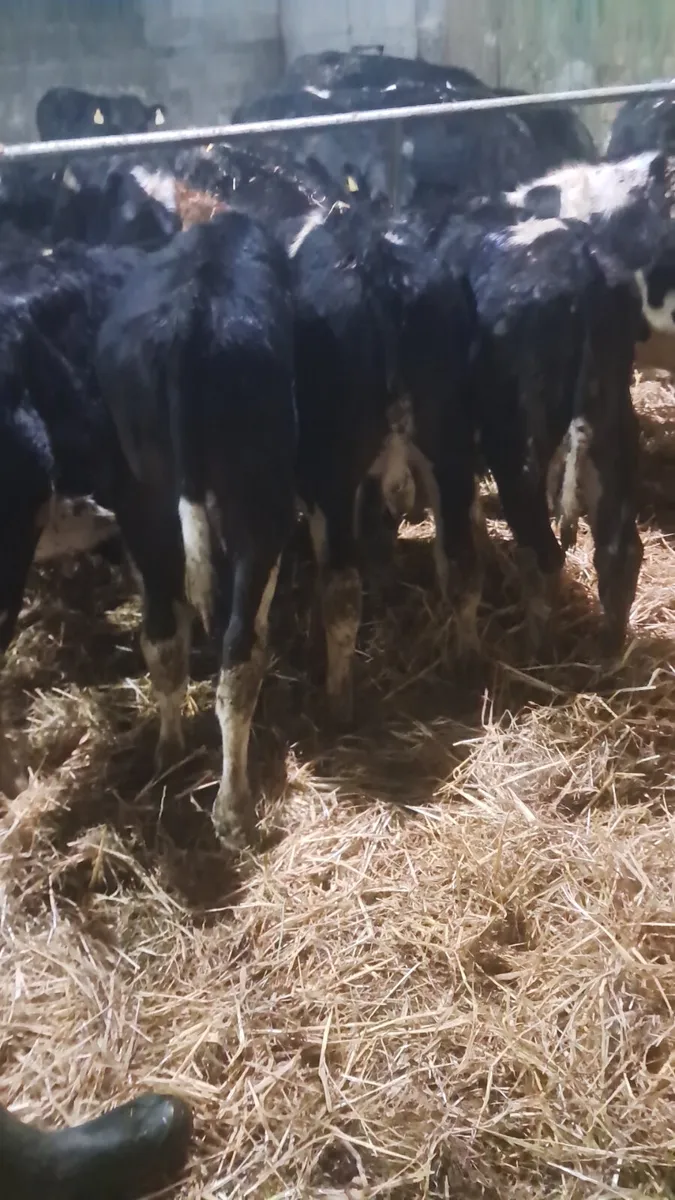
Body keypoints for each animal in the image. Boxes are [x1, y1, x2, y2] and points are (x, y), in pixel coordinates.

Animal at [95, 211, 296, 848]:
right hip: (260, 505)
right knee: (238, 655)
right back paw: (232, 810)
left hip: (140, 496)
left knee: (161, 635)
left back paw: (169, 753)